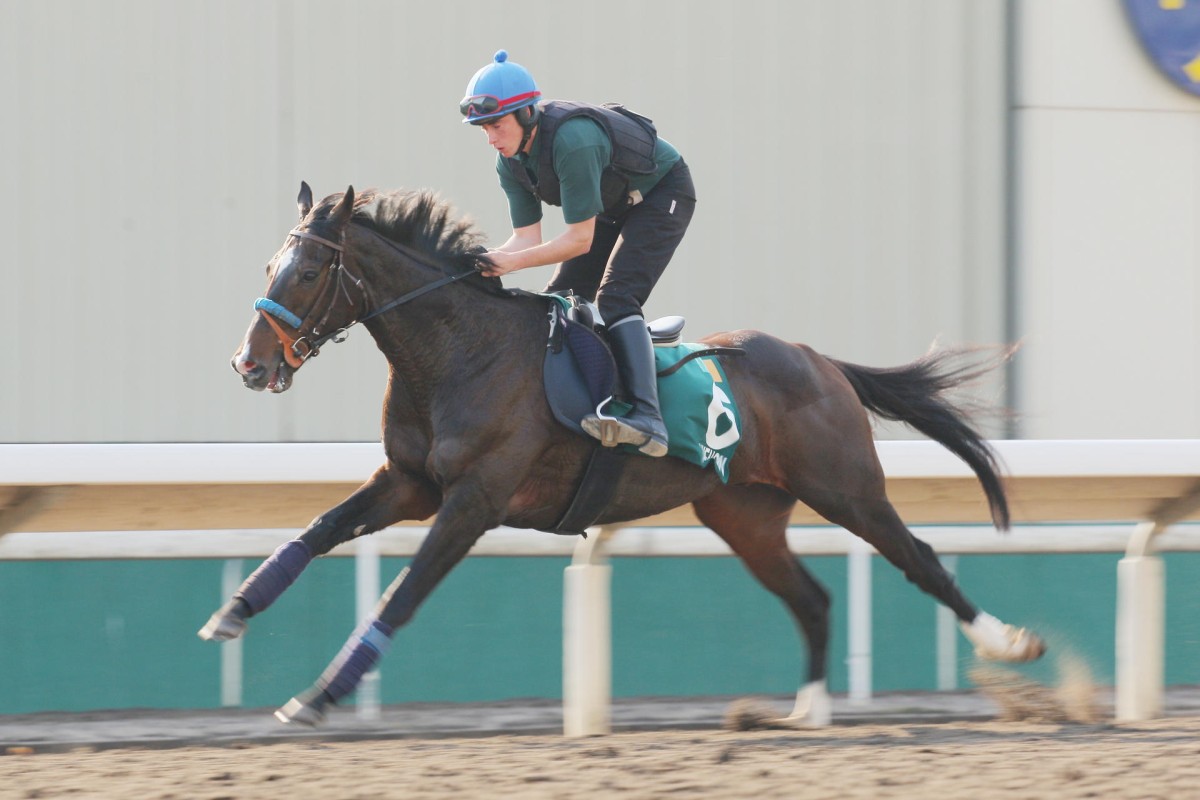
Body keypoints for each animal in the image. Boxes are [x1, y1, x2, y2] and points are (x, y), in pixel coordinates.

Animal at [201, 184, 1046, 729]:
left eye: (310, 271)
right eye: (269, 268)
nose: (249, 364)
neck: (456, 351)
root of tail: (820, 360)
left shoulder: (472, 500)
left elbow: (398, 598)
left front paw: (317, 697)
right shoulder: (408, 483)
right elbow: (315, 530)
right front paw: (233, 610)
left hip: (847, 489)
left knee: (921, 560)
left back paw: (1009, 641)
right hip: (743, 514)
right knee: (812, 598)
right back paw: (807, 711)